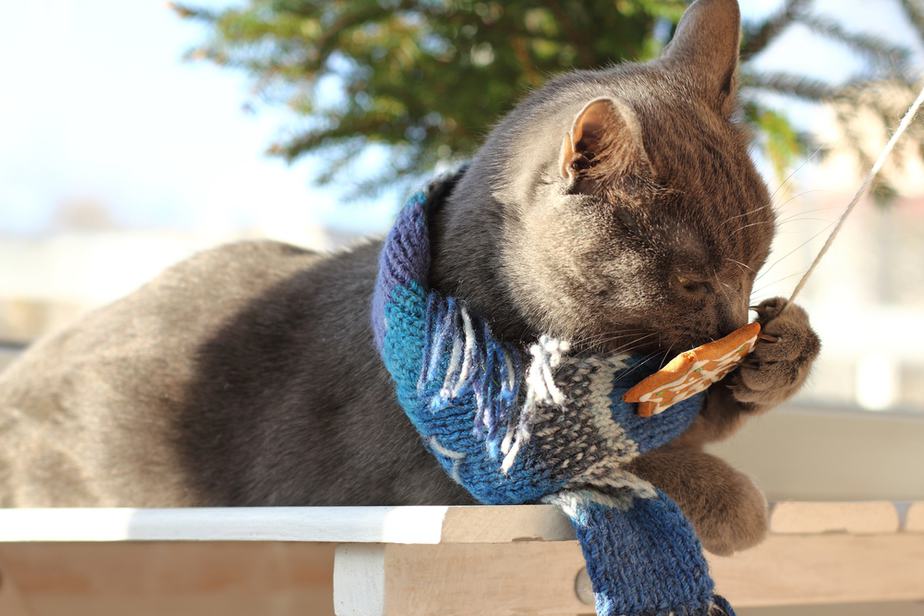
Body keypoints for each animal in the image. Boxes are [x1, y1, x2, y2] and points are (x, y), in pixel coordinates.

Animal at [0, 0, 816, 556]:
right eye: (689, 283)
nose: (731, 322)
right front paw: (731, 500)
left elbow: (697, 413)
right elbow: (630, 459)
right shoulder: (455, 475)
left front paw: (783, 344)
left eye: (754, 265)